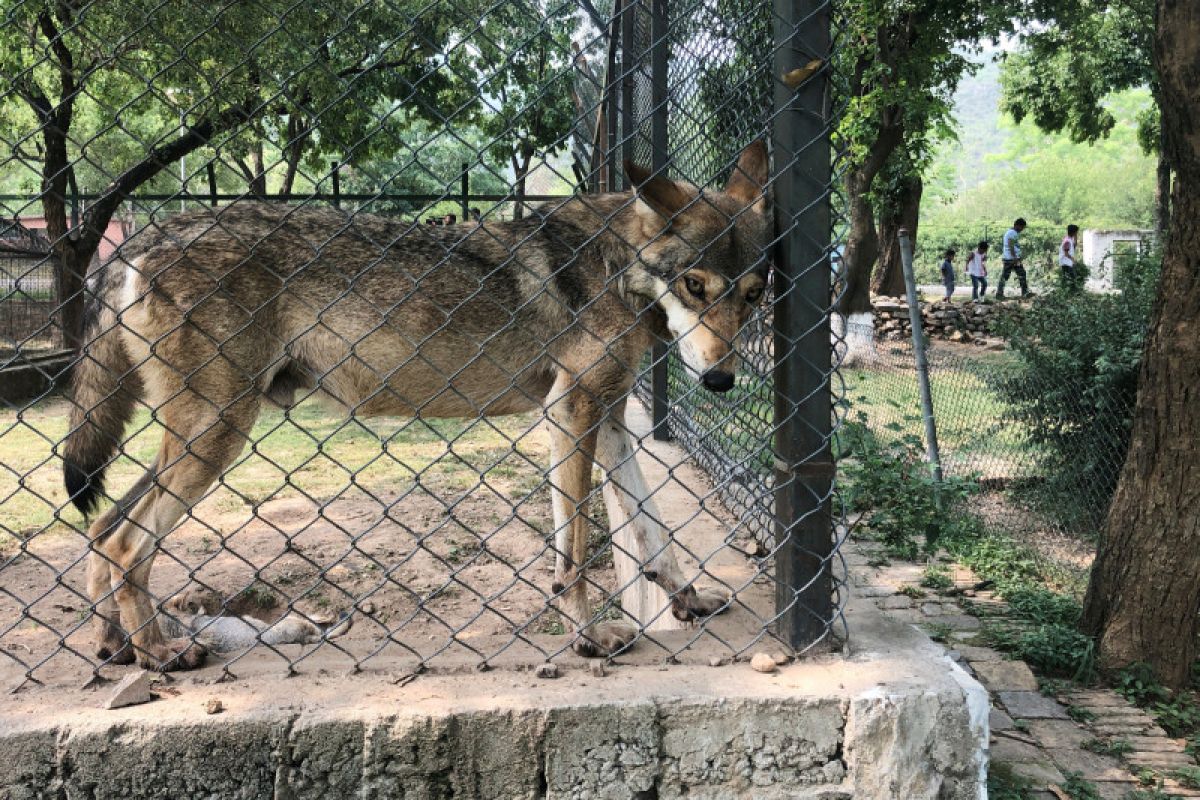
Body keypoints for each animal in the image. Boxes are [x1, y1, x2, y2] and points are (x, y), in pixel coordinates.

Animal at [58, 139, 768, 671]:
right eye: (694, 285)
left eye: (753, 295)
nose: (721, 381)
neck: (618, 265)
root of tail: (148, 233)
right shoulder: (571, 413)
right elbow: (572, 554)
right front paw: (590, 637)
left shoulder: (611, 418)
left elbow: (654, 533)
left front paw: (688, 600)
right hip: (218, 433)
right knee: (126, 542)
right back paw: (158, 652)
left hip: (196, 437)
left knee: (101, 530)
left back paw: (116, 647)